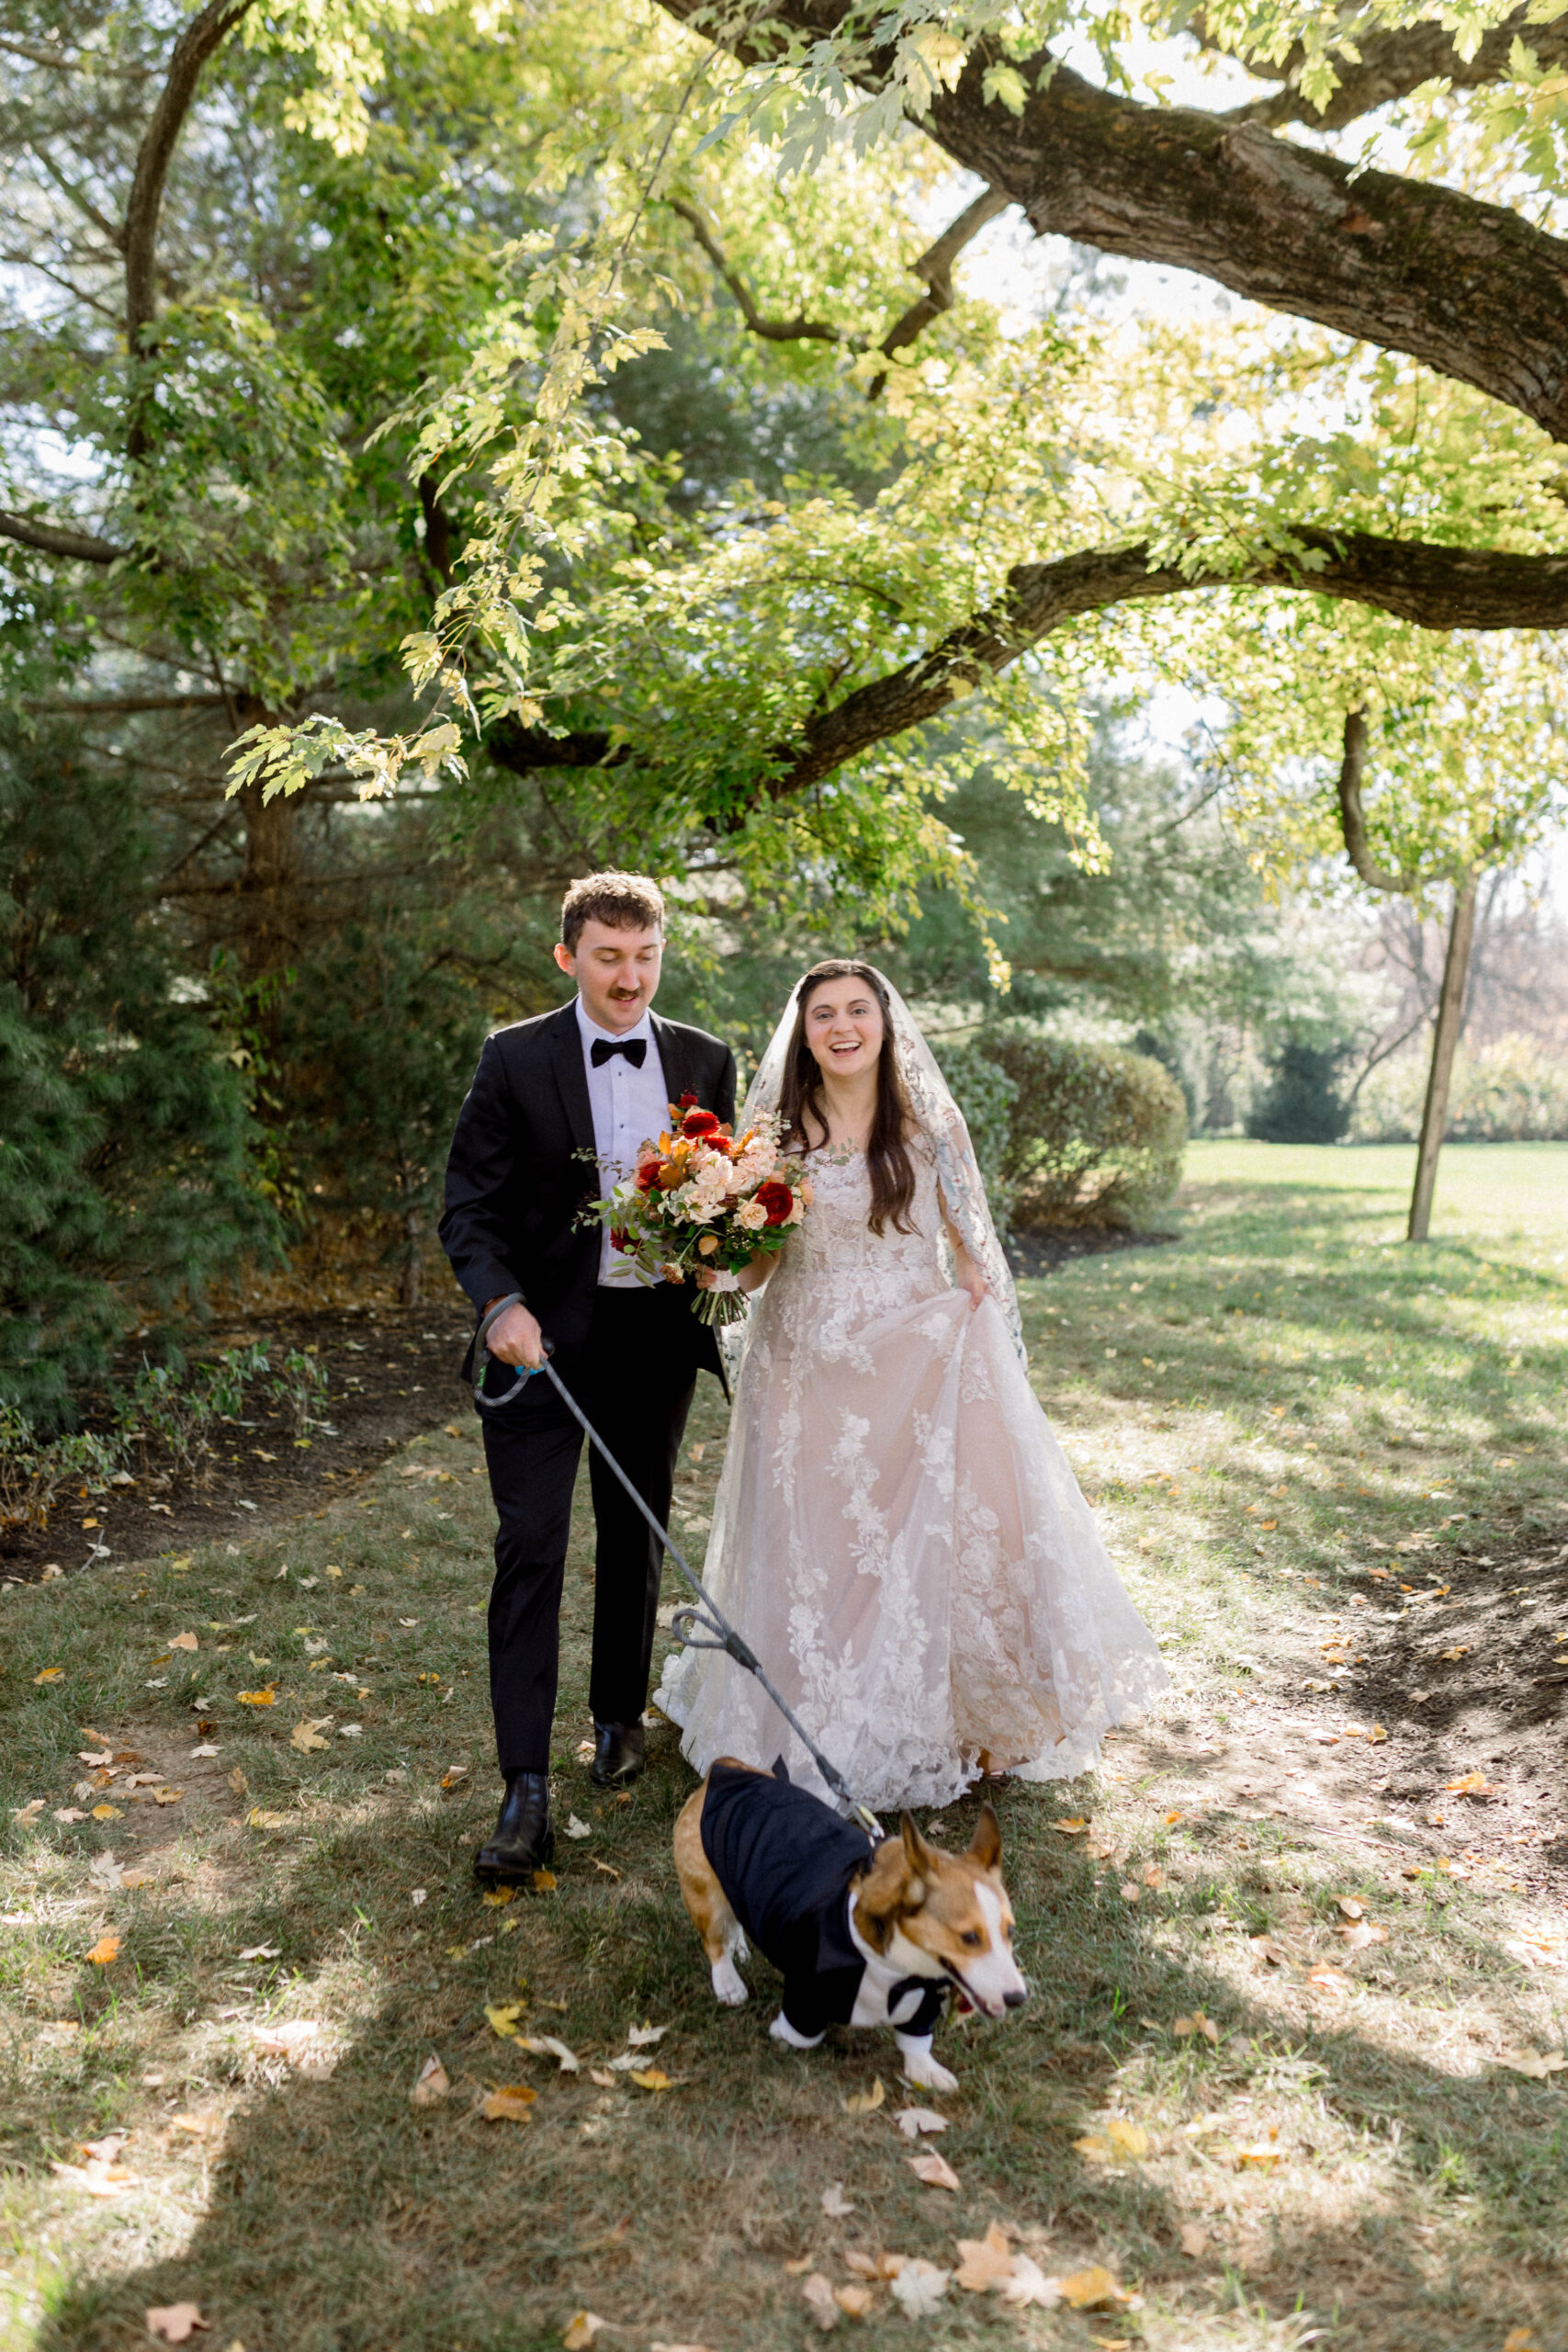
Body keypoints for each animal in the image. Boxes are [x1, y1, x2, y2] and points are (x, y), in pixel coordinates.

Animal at [677, 1758, 1029, 2088]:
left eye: (1010, 1931)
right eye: (969, 1937)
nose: (1018, 1999)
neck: (897, 1969)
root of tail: (727, 1768)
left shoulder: (923, 2001)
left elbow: (916, 2043)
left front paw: (927, 2072)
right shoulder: (804, 1993)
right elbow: (798, 2032)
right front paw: (781, 2035)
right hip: (705, 1894)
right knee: (714, 1940)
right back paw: (729, 1982)